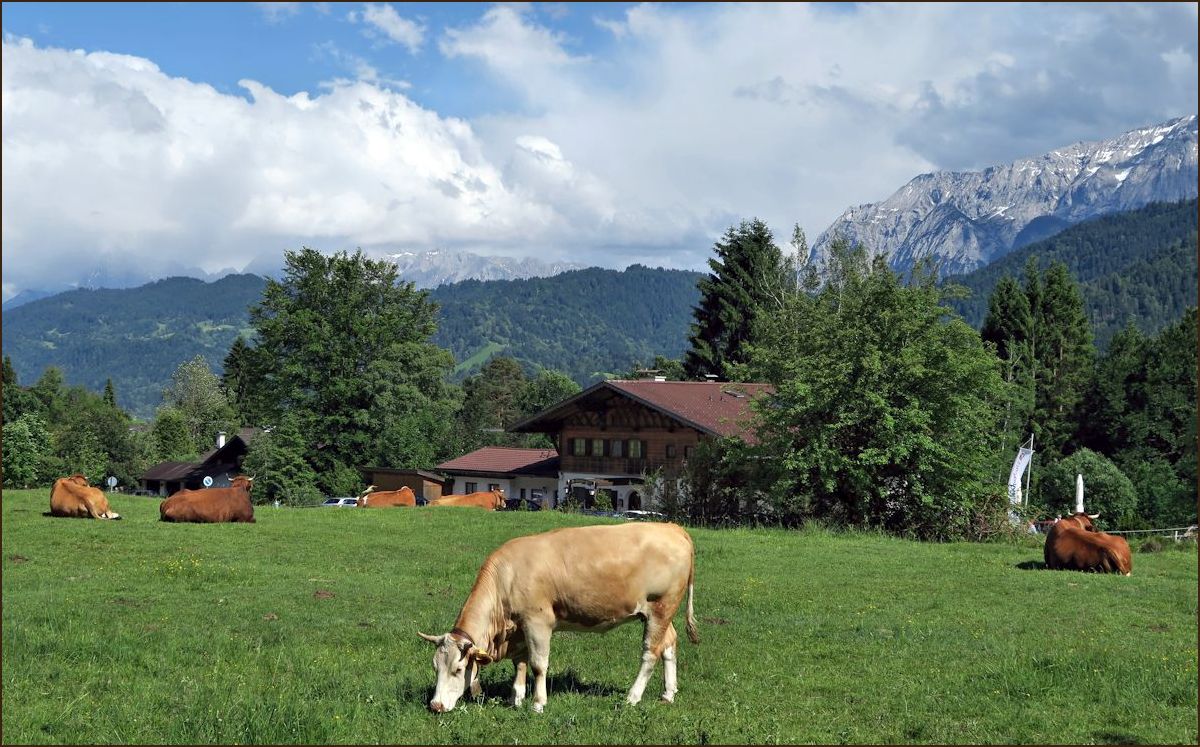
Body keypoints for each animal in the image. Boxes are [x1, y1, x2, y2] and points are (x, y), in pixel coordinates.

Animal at [422, 521, 700, 715]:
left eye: (458, 669)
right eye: (435, 667)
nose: (435, 705)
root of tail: (672, 528)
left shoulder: (538, 622)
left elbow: (538, 664)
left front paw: (537, 703)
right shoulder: (519, 627)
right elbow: (520, 662)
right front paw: (516, 698)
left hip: (661, 608)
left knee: (650, 654)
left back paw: (633, 697)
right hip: (659, 613)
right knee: (669, 644)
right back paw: (668, 693)